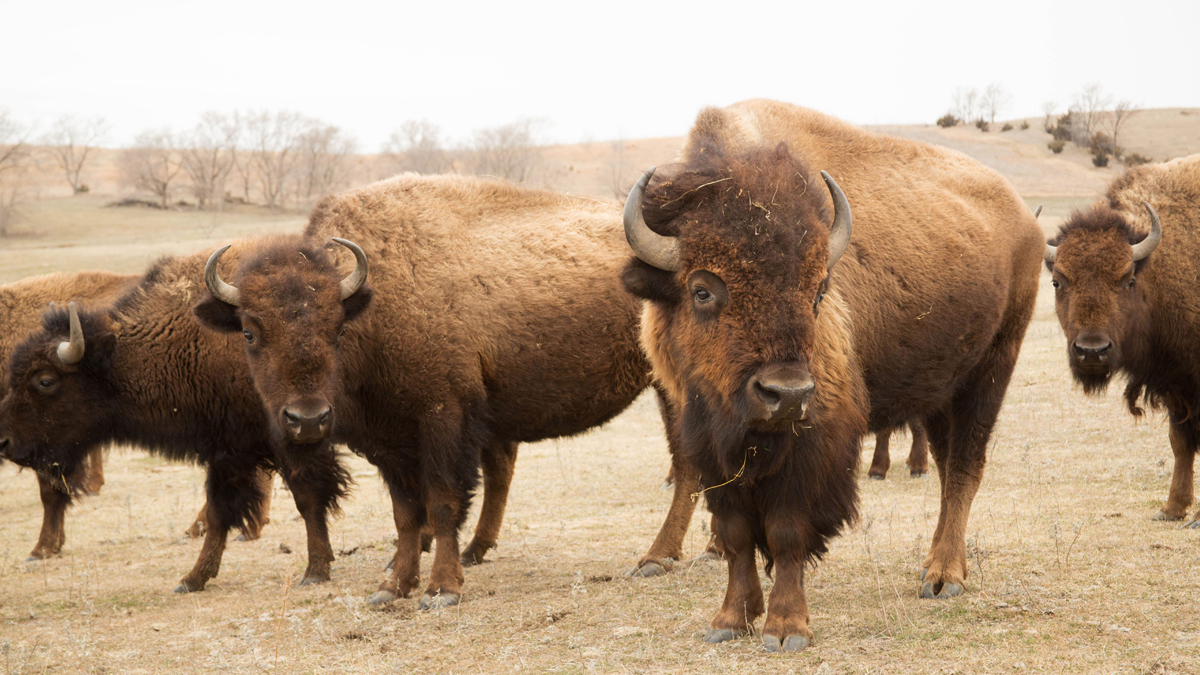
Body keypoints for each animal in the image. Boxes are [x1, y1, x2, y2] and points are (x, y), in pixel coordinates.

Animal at [620, 99, 1042, 650]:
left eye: (819, 289)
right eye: (702, 290)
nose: (786, 394)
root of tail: (1026, 220)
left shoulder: (814, 442)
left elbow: (786, 532)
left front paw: (786, 629)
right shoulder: (708, 443)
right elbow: (735, 534)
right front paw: (730, 621)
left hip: (991, 370)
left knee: (966, 469)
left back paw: (943, 577)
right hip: (938, 393)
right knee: (949, 467)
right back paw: (937, 565)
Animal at [1044, 154, 1200, 526]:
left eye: (1127, 279)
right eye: (1057, 282)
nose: (1092, 351)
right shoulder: (1174, 380)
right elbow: (1180, 440)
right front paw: (1171, 509)